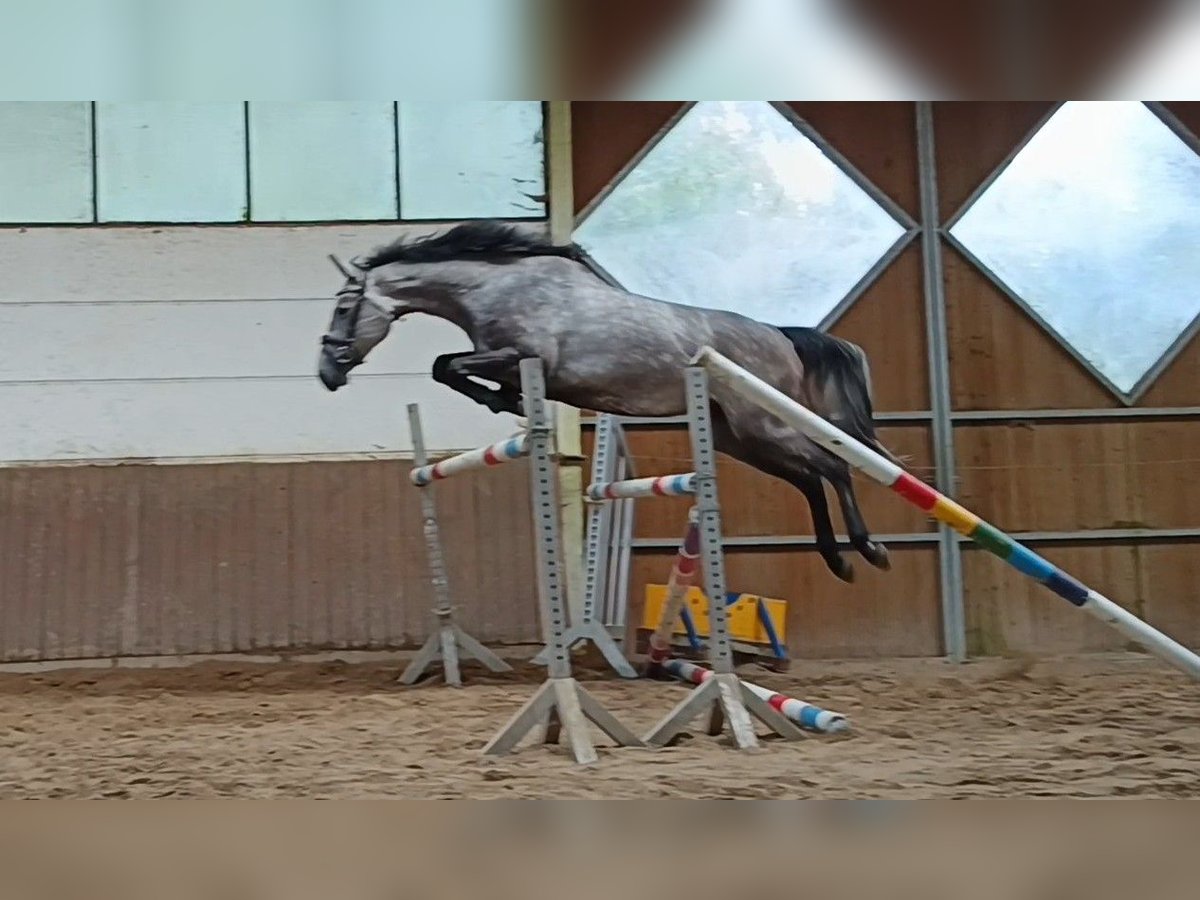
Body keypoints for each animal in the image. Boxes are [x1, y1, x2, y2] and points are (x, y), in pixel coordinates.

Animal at [319, 220, 902, 585]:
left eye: (345, 308)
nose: (327, 373)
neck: (494, 288)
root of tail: (781, 335)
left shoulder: (525, 355)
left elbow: (450, 365)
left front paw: (507, 402)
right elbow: (447, 366)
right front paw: (507, 402)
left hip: (763, 426)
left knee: (833, 467)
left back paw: (869, 552)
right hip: (740, 438)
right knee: (809, 479)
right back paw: (839, 562)